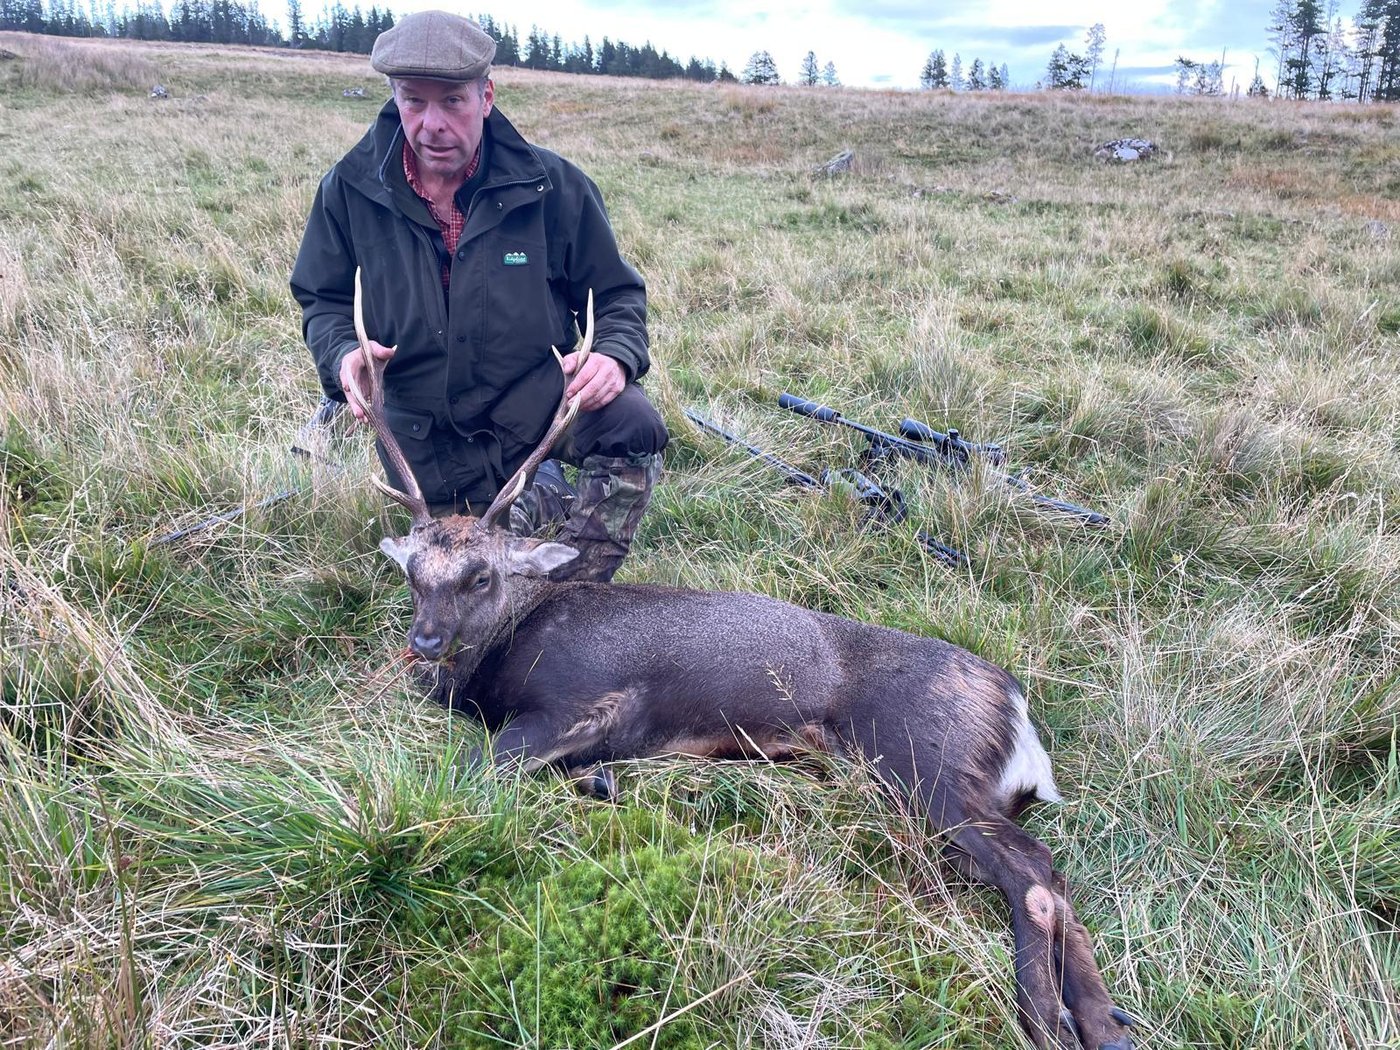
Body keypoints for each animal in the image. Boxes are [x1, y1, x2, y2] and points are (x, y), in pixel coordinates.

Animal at [344, 269, 1137, 1050]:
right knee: (1052, 879)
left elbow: (473, 769)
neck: (505, 649)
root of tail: (1011, 697)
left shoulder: (581, 697)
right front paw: (597, 781)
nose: (424, 646)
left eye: (481, 576)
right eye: (412, 572)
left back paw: (1046, 1018)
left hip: (925, 760)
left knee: (1033, 872)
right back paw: (1106, 1022)